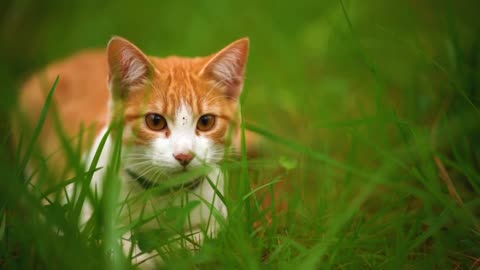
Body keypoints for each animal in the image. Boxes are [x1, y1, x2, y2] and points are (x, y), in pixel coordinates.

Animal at [15, 36, 248, 268]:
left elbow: (203, 238)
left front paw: (170, 250)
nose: (184, 155)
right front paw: (142, 257)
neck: (163, 194)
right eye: (155, 121)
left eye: (206, 122)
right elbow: (100, 241)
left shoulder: (220, 214)